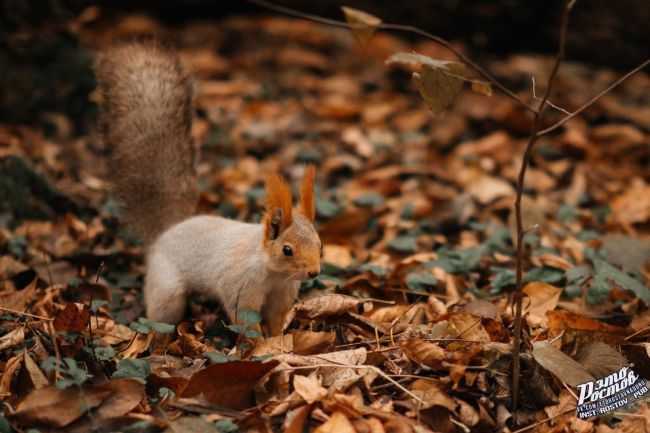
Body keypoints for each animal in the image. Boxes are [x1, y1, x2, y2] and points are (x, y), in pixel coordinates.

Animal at [93, 43, 322, 334]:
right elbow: (245, 322)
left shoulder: (281, 294)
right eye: (287, 250)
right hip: (166, 287)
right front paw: (261, 344)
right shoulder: (241, 288)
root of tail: (165, 233)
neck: (273, 272)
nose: (314, 272)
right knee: (161, 314)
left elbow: (275, 319)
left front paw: (279, 340)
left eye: (320, 244)